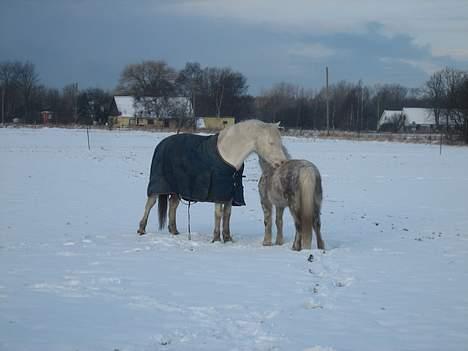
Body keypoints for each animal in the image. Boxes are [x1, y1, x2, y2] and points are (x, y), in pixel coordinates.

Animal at [137, 119, 288, 243]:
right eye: (270, 142)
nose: (282, 162)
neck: (228, 153)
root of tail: (162, 144)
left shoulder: (229, 193)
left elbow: (227, 215)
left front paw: (227, 238)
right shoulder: (218, 193)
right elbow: (218, 214)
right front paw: (216, 238)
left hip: (177, 189)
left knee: (172, 205)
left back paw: (174, 231)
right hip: (158, 187)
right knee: (150, 204)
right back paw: (141, 229)